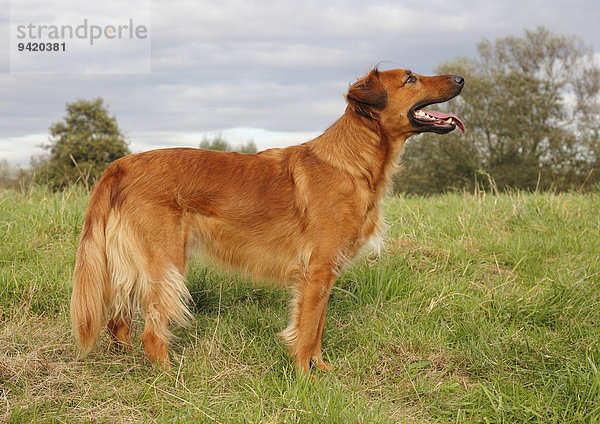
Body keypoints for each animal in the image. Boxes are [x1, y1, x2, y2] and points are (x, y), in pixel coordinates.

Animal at [70, 68, 464, 376]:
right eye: (410, 78)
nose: (461, 78)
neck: (353, 161)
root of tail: (121, 164)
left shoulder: (325, 272)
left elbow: (317, 328)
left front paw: (322, 370)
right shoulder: (316, 271)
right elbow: (306, 331)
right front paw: (304, 380)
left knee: (118, 323)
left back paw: (128, 364)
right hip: (165, 264)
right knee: (151, 333)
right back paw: (169, 377)